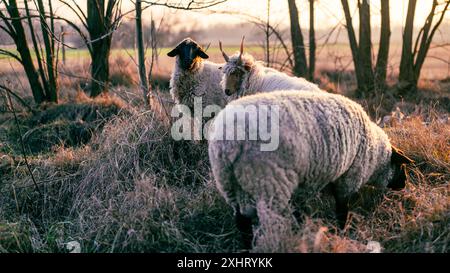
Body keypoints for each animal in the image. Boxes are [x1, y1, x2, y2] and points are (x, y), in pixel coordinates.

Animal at [209, 90, 414, 248]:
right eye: (401, 166)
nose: (404, 185)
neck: (375, 153)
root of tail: (228, 142)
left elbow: (301, 210)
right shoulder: (347, 178)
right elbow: (342, 210)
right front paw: (342, 233)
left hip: (230, 185)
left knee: (242, 221)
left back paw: (247, 248)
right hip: (270, 183)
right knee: (270, 223)